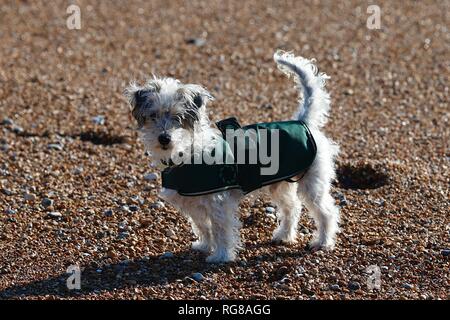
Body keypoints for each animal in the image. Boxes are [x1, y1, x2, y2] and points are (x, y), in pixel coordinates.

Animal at [125, 51, 340, 262]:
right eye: (153, 116)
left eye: (178, 118)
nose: (164, 138)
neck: (187, 153)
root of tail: (303, 122)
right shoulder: (194, 205)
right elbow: (203, 227)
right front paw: (205, 246)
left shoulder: (218, 203)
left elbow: (220, 231)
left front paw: (221, 255)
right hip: (280, 186)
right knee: (292, 208)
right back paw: (284, 235)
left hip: (313, 185)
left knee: (327, 213)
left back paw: (323, 242)